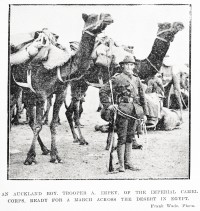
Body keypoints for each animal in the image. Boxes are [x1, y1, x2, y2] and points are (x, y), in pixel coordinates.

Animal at [10, 12, 113, 165]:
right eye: (92, 16)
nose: (108, 16)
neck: (59, 67)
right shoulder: (41, 94)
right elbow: (39, 125)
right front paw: (30, 157)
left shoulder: (60, 93)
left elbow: (52, 124)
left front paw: (55, 155)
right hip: (16, 88)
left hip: (27, 92)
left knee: (29, 119)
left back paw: (45, 149)